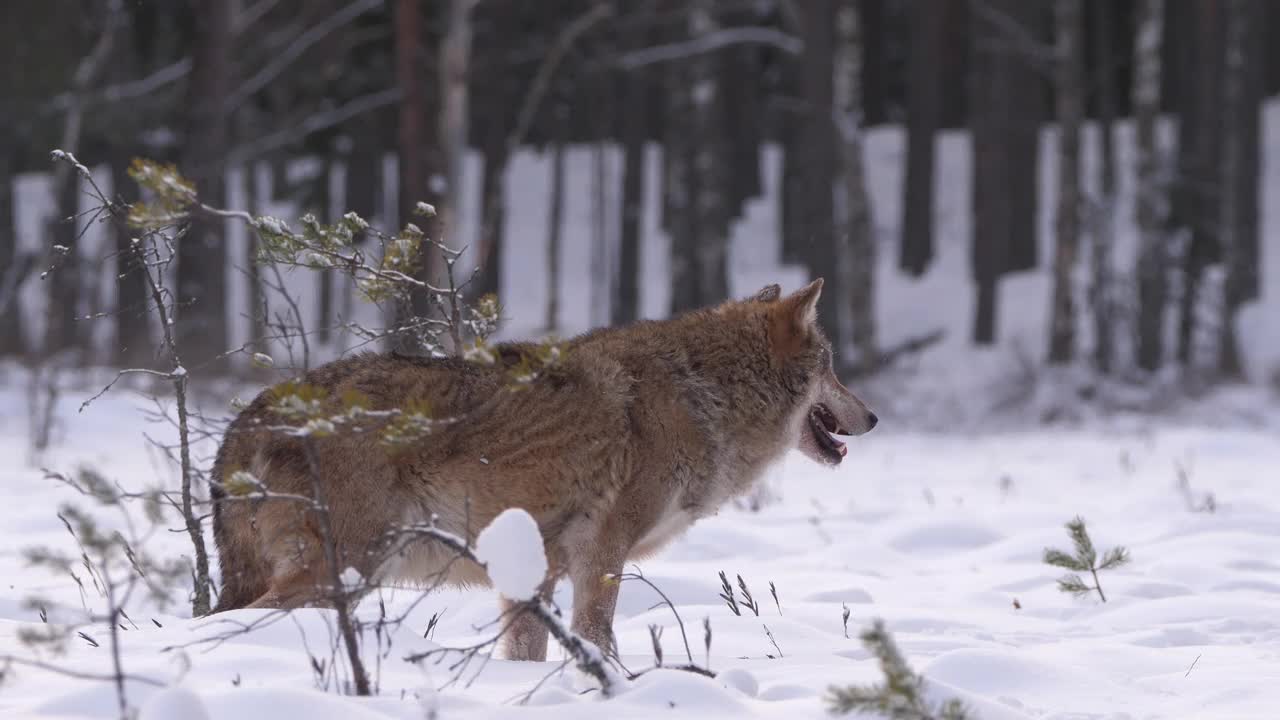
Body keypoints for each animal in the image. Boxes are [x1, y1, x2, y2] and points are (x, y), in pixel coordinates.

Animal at [209, 278, 875, 661]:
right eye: (832, 365)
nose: (871, 417)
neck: (704, 394)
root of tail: (248, 417)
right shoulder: (601, 552)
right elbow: (599, 637)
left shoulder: (536, 568)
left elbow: (526, 650)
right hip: (343, 570)